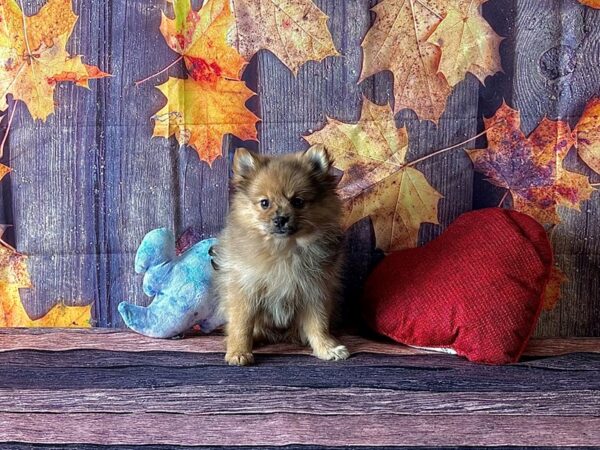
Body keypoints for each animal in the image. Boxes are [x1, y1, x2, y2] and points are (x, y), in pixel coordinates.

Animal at [212, 146, 350, 364]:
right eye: (265, 203)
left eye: (298, 202)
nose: (280, 219)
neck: (283, 249)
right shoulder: (245, 289)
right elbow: (241, 325)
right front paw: (238, 352)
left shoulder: (314, 290)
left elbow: (318, 324)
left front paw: (327, 348)